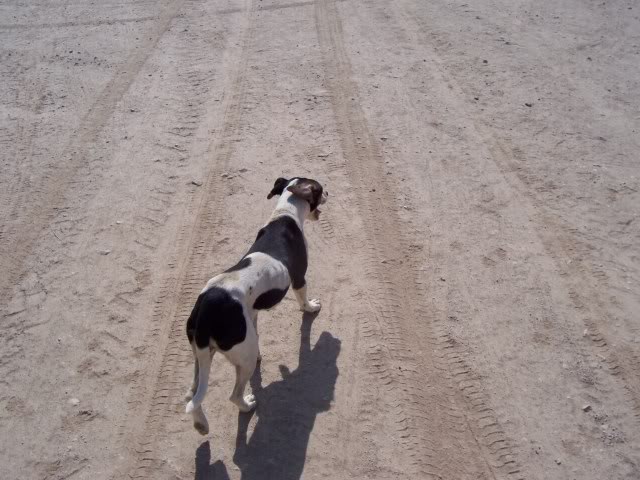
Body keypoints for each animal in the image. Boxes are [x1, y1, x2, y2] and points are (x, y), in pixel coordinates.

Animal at [182, 175, 328, 436]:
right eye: (320, 190)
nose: (329, 193)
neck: (285, 214)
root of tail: (205, 311)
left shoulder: (253, 311)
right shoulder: (299, 278)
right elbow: (303, 301)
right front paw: (311, 307)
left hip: (201, 354)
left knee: (191, 394)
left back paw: (201, 425)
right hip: (242, 357)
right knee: (233, 395)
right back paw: (247, 405)